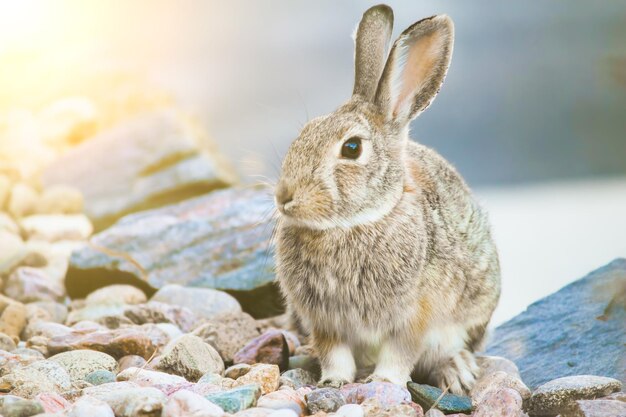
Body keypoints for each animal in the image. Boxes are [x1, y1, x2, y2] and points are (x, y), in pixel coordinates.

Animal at [272, 3, 498, 394]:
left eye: (351, 148)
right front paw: (333, 381)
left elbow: (400, 352)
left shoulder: (413, 316)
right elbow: (334, 353)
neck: (352, 224)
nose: (284, 196)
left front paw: (384, 381)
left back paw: (457, 373)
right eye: (304, 133)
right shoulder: (325, 321)